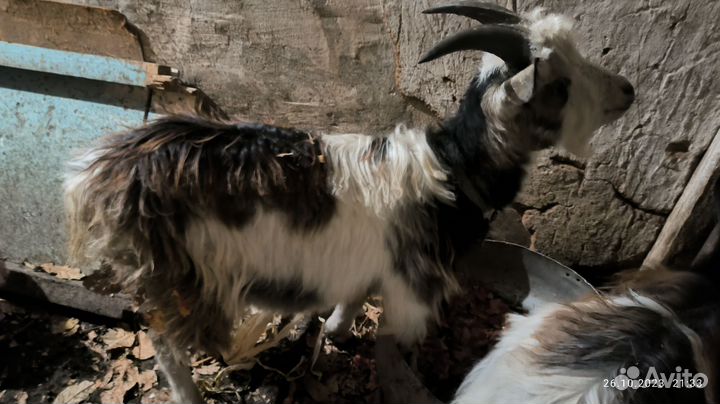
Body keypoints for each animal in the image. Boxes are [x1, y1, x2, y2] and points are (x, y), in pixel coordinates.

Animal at [64, 3, 634, 403]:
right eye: (560, 84)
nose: (628, 90)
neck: (452, 167)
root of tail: (102, 172)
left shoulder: (371, 263)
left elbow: (354, 295)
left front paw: (335, 331)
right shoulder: (412, 284)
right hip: (176, 276)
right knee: (166, 345)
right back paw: (190, 395)